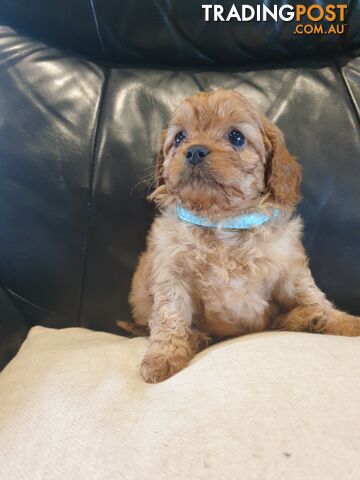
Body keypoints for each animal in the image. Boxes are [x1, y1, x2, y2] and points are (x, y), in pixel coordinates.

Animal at [119, 89, 360, 382]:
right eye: (179, 137)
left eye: (236, 137)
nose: (194, 151)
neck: (223, 221)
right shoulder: (171, 273)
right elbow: (170, 315)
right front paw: (162, 356)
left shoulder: (290, 270)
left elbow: (314, 296)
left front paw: (344, 322)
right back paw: (197, 337)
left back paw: (306, 319)